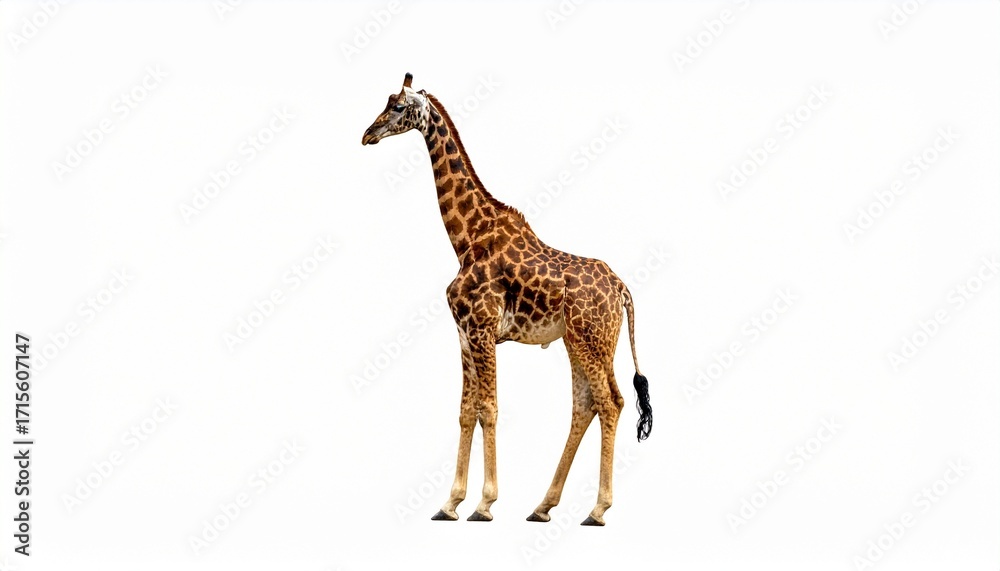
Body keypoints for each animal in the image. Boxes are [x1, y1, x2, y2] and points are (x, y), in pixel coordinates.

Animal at [362, 73, 653, 526]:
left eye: (398, 106)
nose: (367, 135)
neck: (466, 239)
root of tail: (623, 288)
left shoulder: (482, 330)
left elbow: (490, 408)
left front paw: (484, 503)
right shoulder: (464, 334)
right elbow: (467, 411)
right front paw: (449, 503)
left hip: (594, 340)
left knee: (610, 402)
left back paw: (598, 509)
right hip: (578, 341)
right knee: (586, 404)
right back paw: (543, 505)